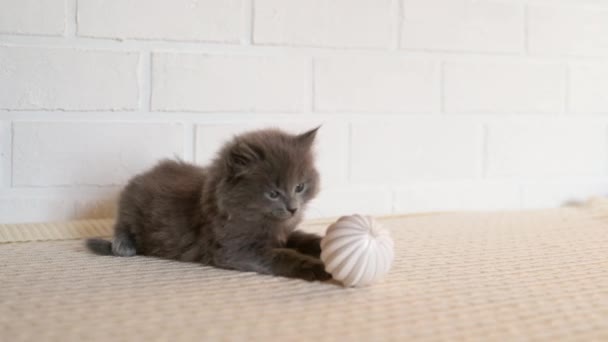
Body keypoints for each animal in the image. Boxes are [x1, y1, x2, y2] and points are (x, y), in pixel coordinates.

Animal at [85, 127, 330, 280]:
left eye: (300, 187)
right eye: (273, 193)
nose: (293, 208)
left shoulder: (284, 233)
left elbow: (303, 238)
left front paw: (321, 245)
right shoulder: (235, 249)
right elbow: (282, 255)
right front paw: (317, 267)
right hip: (130, 206)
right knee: (122, 226)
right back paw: (123, 245)